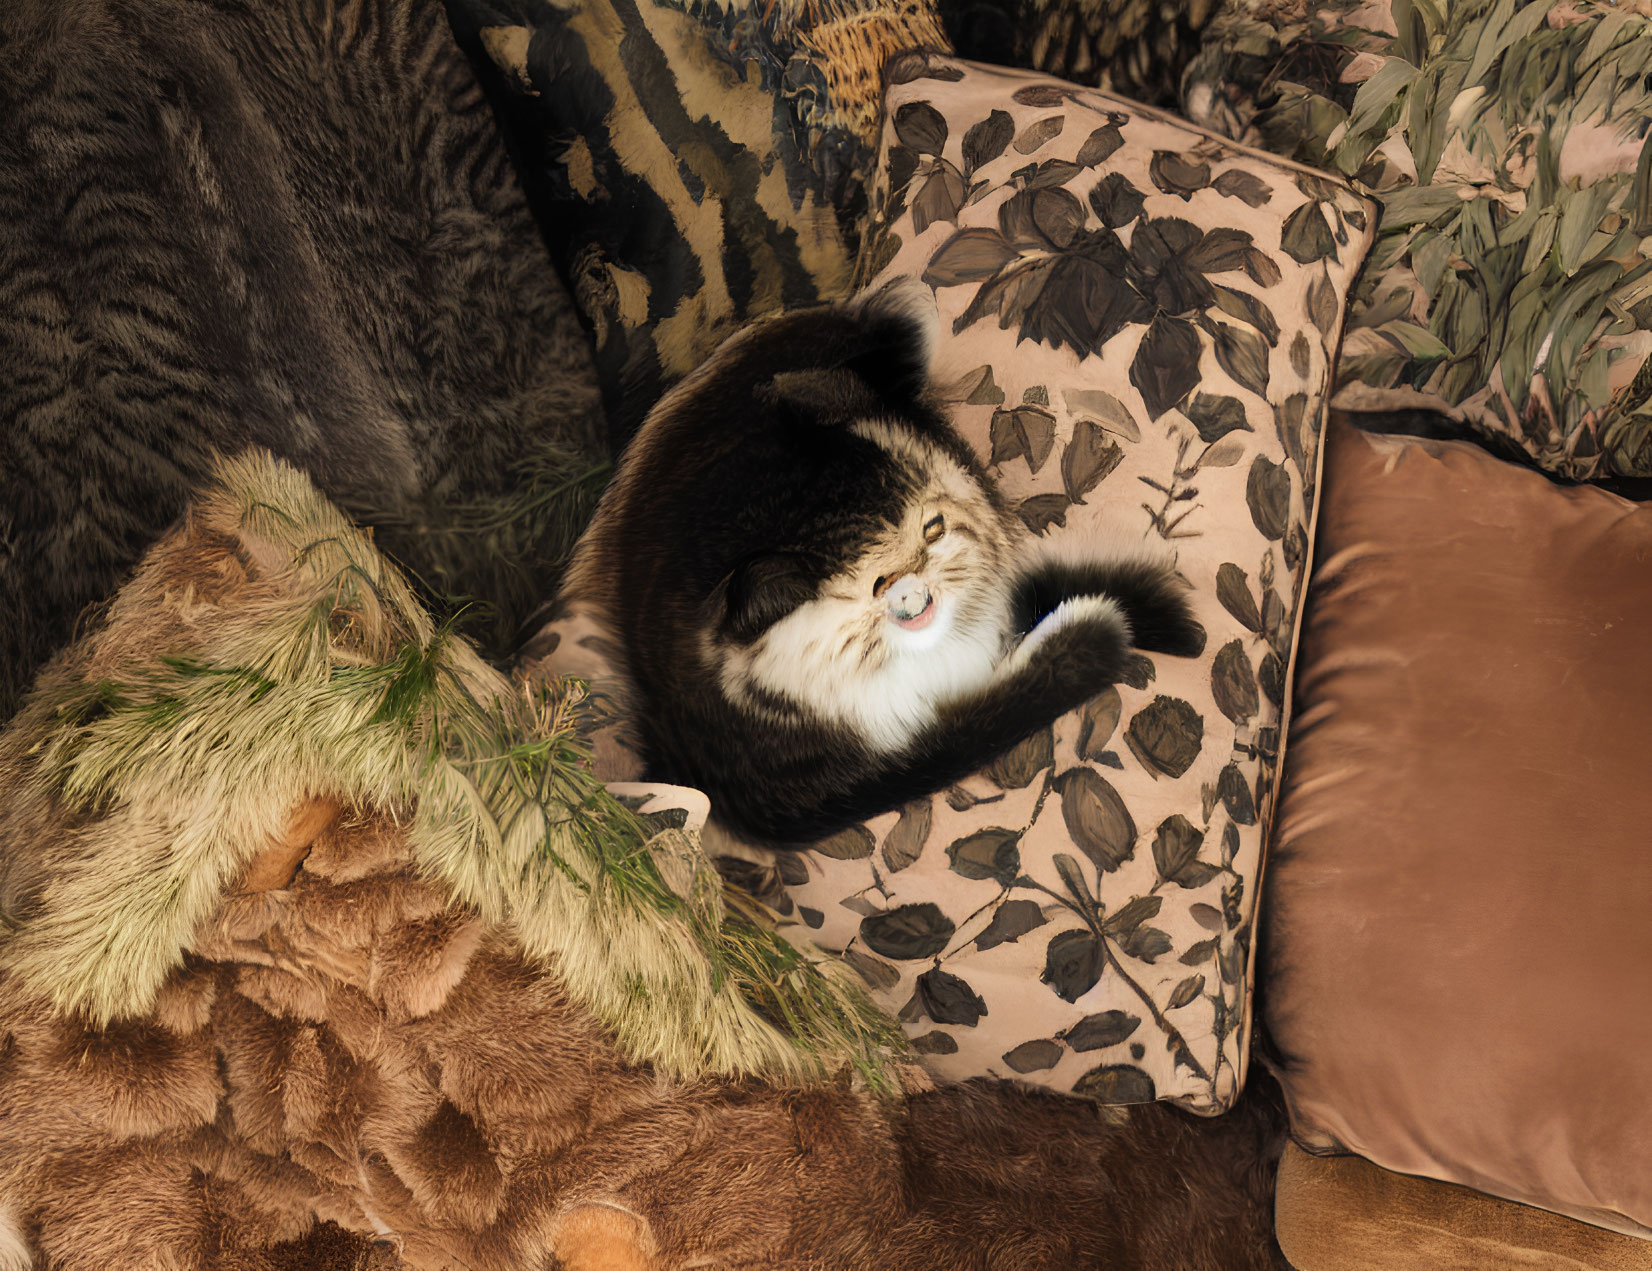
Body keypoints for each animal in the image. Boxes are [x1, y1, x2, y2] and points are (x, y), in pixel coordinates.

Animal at [564, 282, 1202, 846]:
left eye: (932, 530)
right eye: (873, 586)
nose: (917, 595)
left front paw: (1174, 624)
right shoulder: (811, 790)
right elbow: (982, 723)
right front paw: (1105, 633)